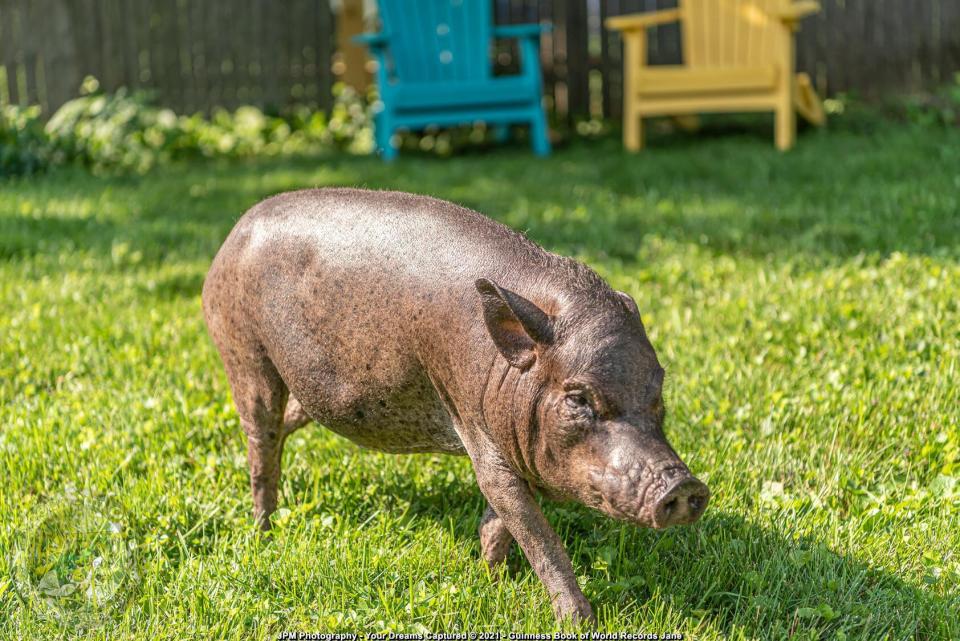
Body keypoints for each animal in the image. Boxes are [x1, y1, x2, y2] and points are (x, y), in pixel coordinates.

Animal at [202, 186, 708, 620]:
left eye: (657, 389)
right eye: (579, 398)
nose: (683, 485)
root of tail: (235, 232)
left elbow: (500, 520)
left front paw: (495, 581)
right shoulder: (473, 421)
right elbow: (530, 526)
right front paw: (580, 621)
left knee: (285, 425)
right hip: (243, 352)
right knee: (260, 441)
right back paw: (264, 532)